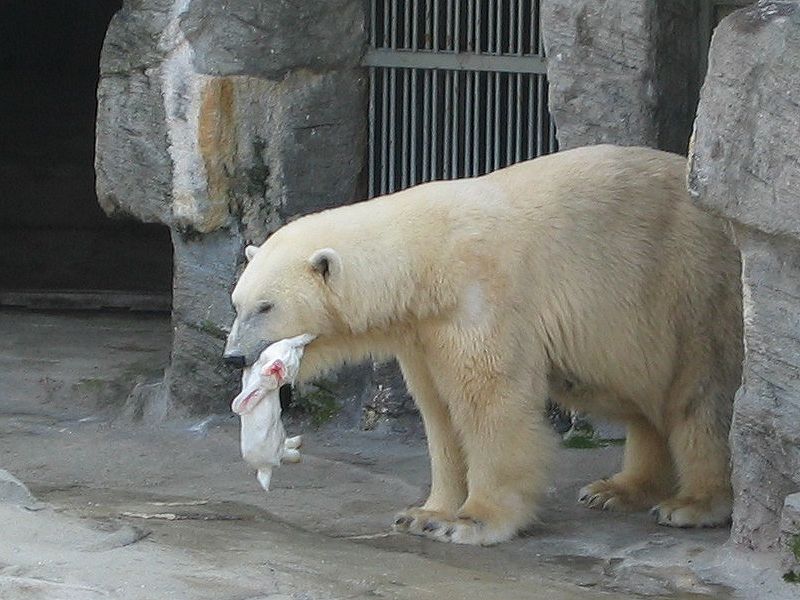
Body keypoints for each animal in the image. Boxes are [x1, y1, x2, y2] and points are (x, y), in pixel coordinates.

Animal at [222, 144, 740, 544]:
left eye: (265, 306)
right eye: (237, 302)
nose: (233, 357)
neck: (427, 255)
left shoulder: (480, 299)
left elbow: (490, 403)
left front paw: (472, 522)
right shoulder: (423, 333)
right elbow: (439, 411)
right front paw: (424, 513)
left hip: (694, 288)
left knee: (702, 396)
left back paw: (693, 504)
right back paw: (616, 490)